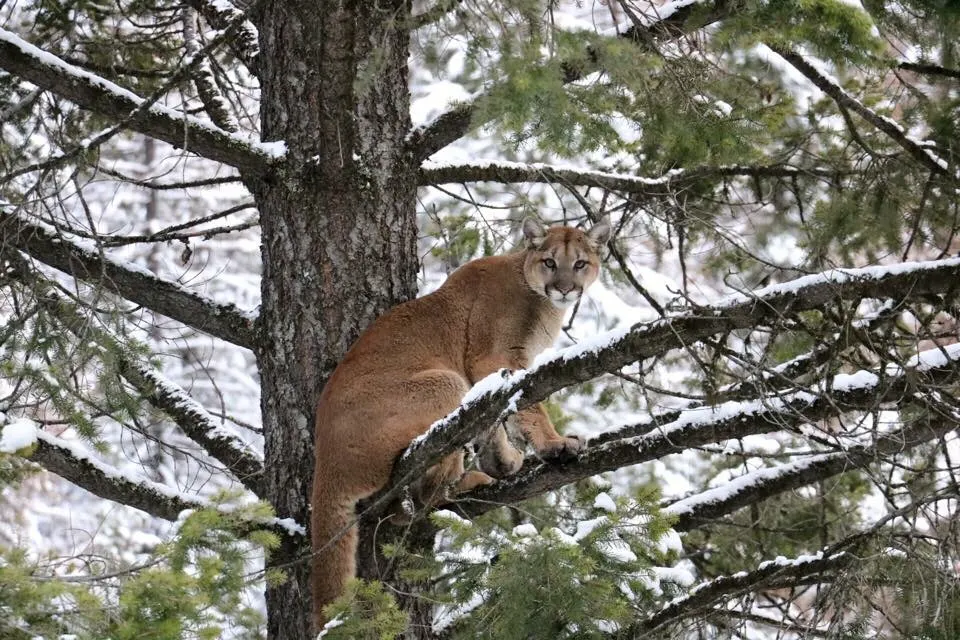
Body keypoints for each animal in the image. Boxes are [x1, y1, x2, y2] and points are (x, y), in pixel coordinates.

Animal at [312, 218, 612, 628]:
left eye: (580, 263)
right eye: (550, 262)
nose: (565, 288)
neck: (533, 291)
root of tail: (325, 458)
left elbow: (494, 421)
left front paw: (504, 462)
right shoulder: (495, 360)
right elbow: (526, 407)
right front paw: (553, 445)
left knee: (403, 508)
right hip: (445, 381)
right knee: (425, 495)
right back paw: (468, 480)